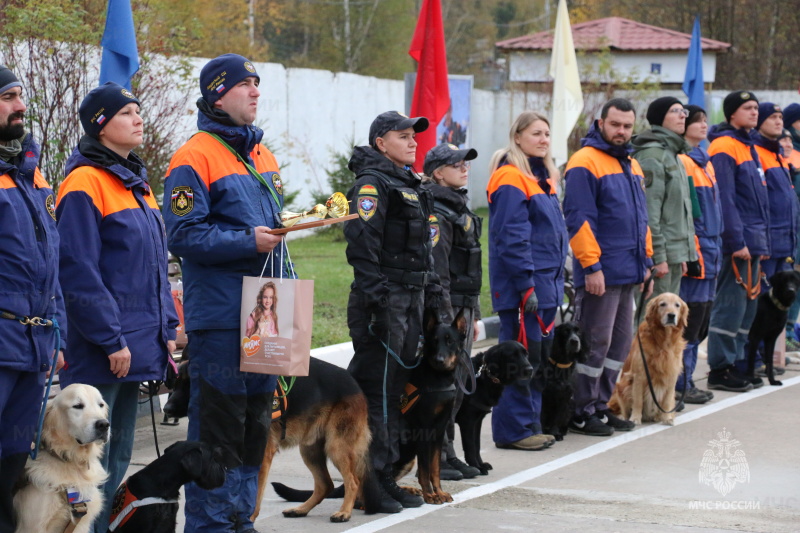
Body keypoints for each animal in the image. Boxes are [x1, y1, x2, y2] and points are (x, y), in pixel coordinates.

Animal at [14, 382, 109, 532]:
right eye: (78, 405)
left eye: (101, 405)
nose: (104, 424)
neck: (71, 462)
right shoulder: (31, 526)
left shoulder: (81, 524)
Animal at [454, 342, 536, 476]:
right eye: (513, 355)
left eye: (526, 354)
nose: (530, 370)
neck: (485, 375)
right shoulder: (468, 421)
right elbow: (470, 446)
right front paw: (477, 467)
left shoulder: (477, 421)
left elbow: (476, 445)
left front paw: (481, 464)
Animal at [612, 290, 688, 424]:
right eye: (662, 304)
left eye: (677, 305)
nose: (671, 315)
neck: (664, 342)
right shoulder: (639, 375)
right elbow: (638, 401)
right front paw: (635, 418)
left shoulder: (671, 375)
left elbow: (667, 401)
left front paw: (666, 418)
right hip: (622, 387)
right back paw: (623, 417)